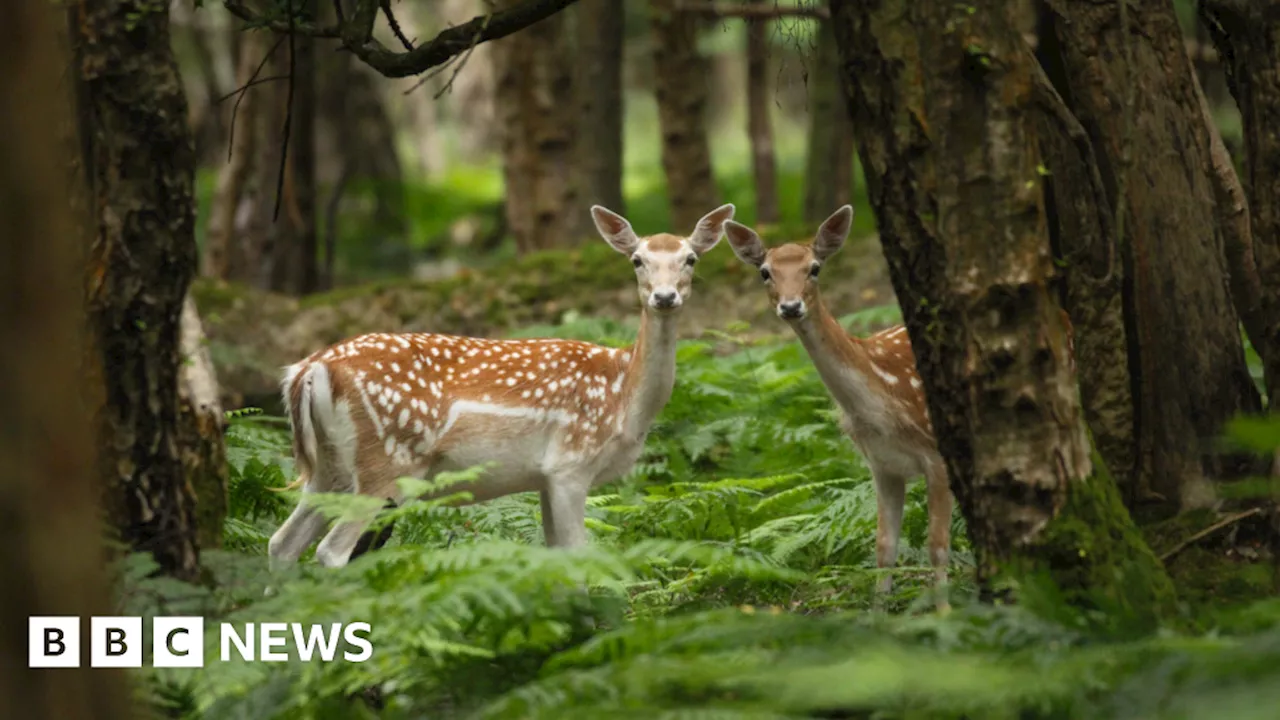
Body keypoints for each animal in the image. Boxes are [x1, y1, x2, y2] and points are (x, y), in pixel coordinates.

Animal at [263, 199, 737, 566]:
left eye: (690, 258)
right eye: (637, 259)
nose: (664, 297)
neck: (624, 395)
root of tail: (308, 371)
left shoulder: (544, 479)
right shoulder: (570, 464)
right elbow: (578, 556)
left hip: (330, 468)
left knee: (281, 543)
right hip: (386, 459)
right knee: (330, 551)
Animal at [721, 204, 952, 607]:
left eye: (814, 268)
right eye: (765, 272)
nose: (791, 306)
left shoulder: (937, 455)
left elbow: (937, 547)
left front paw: (948, 613)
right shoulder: (882, 465)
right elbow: (884, 547)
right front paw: (879, 611)